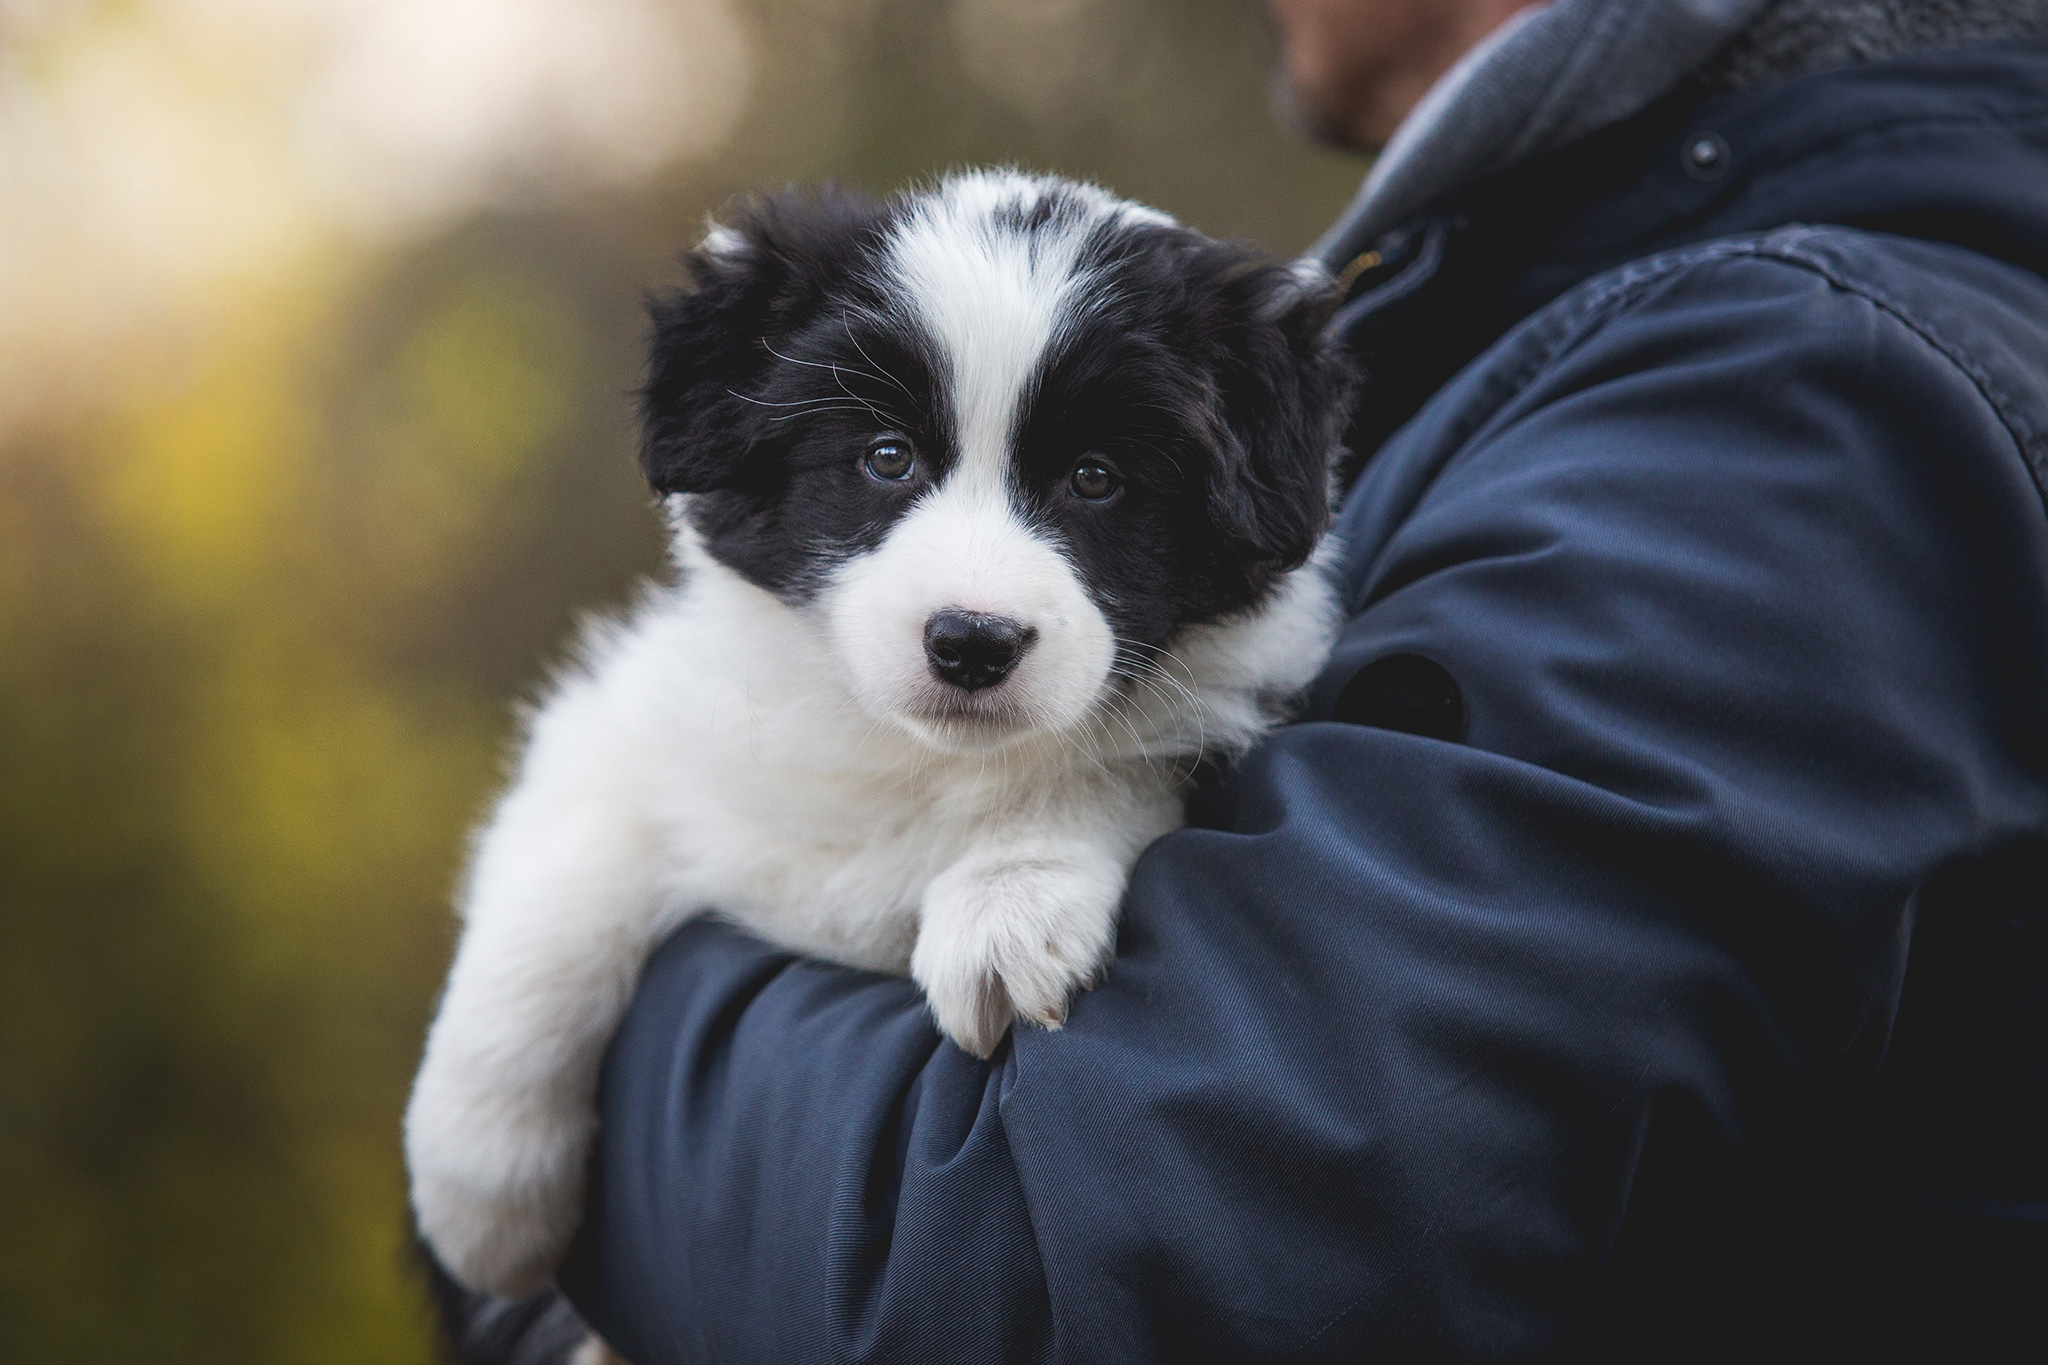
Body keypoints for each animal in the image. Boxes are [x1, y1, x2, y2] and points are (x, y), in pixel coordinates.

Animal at [403, 170, 1359, 1301]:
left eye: (1095, 477)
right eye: (886, 458)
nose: (973, 642)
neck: (906, 760)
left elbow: (1111, 762)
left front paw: (1005, 903)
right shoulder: (627, 727)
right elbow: (562, 892)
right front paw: (479, 1195)